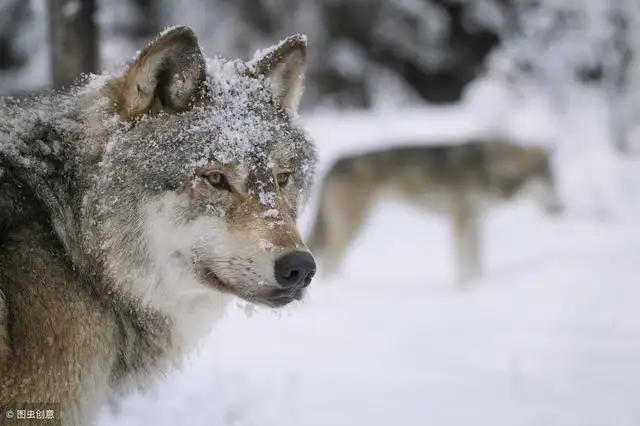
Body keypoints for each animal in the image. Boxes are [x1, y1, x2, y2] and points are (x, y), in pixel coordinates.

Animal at [308, 141, 564, 286]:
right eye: (547, 183)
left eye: (554, 183)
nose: (561, 208)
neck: (490, 169)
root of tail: (334, 164)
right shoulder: (460, 220)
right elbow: (464, 262)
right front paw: (465, 288)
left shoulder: (475, 221)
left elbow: (477, 259)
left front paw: (479, 285)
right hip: (353, 226)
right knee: (330, 264)